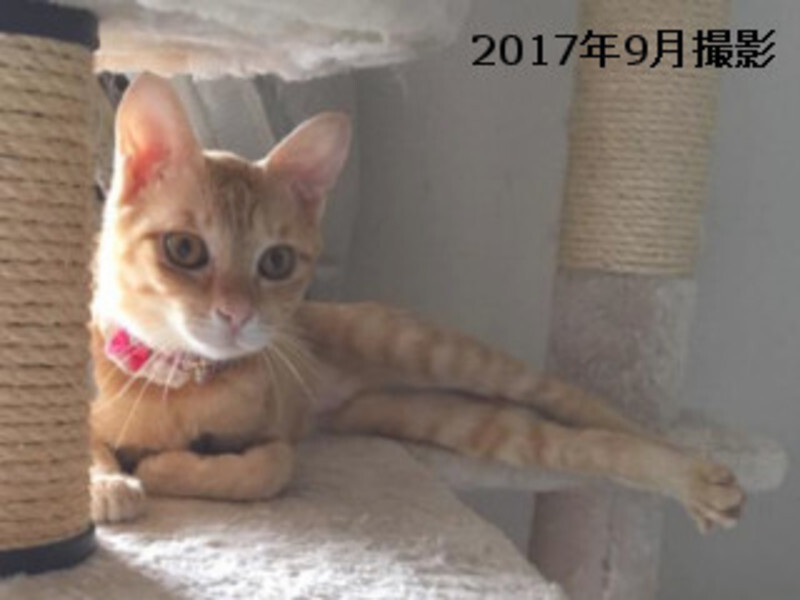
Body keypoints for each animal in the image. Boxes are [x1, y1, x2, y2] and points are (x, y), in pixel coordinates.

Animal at [89, 72, 743, 533]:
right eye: (184, 249)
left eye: (275, 262)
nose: (237, 315)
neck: (176, 382)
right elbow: (91, 449)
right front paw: (107, 484)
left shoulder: (277, 437)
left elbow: (269, 468)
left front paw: (159, 468)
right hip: (435, 416)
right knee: (553, 435)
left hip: (432, 350)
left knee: (575, 405)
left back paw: (691, 465)